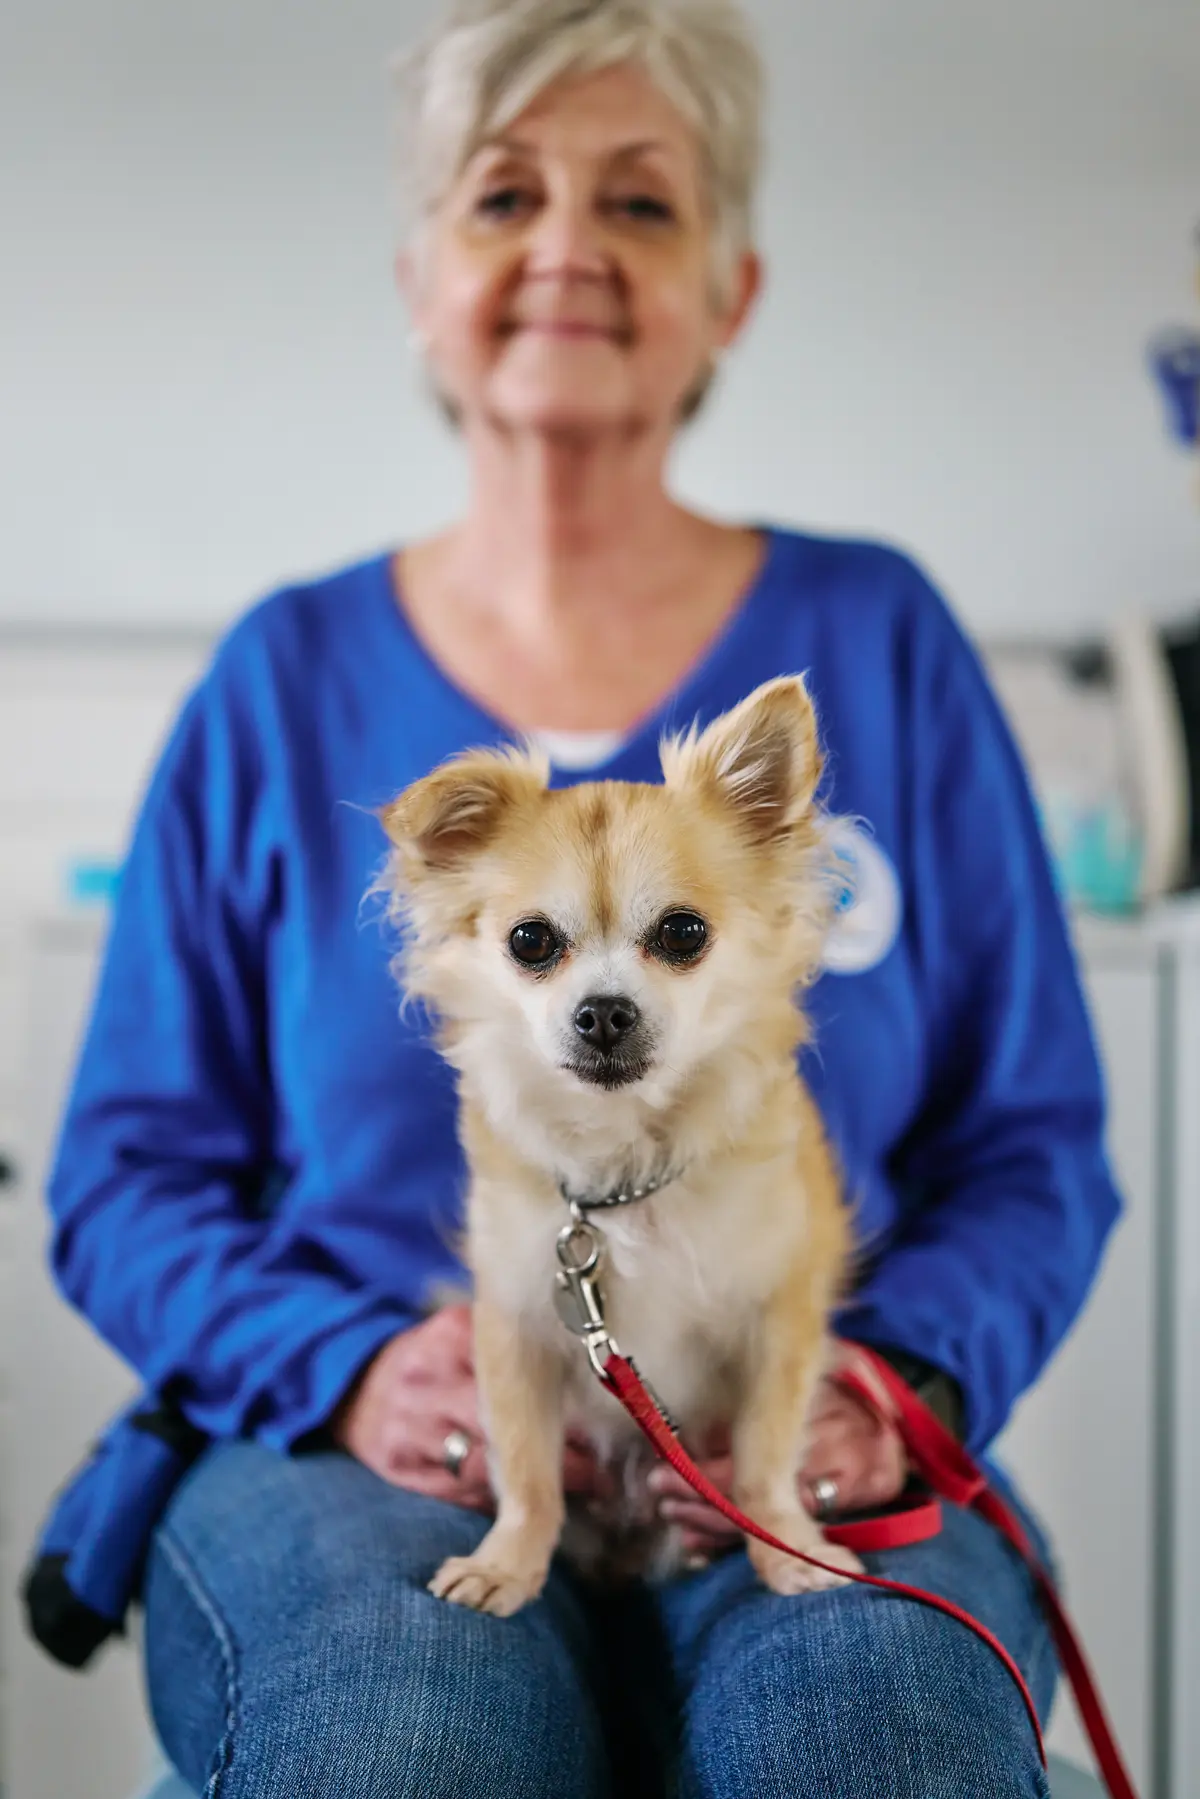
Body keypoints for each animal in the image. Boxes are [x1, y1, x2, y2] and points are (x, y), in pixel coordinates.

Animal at [379, 672, 859, 1619]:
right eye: (530, 940)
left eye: (683, 932)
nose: (603, 1011)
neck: (627, 1167)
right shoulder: (517, 1324)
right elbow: (527, 1467)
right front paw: (509, 1561)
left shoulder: (780, 1315)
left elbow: (765, 1449)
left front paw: (788, 1545)